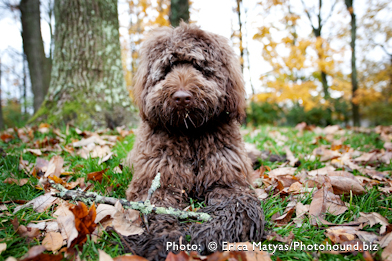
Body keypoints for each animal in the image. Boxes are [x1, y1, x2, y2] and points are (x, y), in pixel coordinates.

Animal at [124, 22, 264, 260]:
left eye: (199, 67)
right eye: (167, 68)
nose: (181, 97)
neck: (190, 136)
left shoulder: (229, 181)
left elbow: (237, 209)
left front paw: (207, 234)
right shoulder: (159, 182)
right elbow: (155, 210)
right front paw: (164, 239)